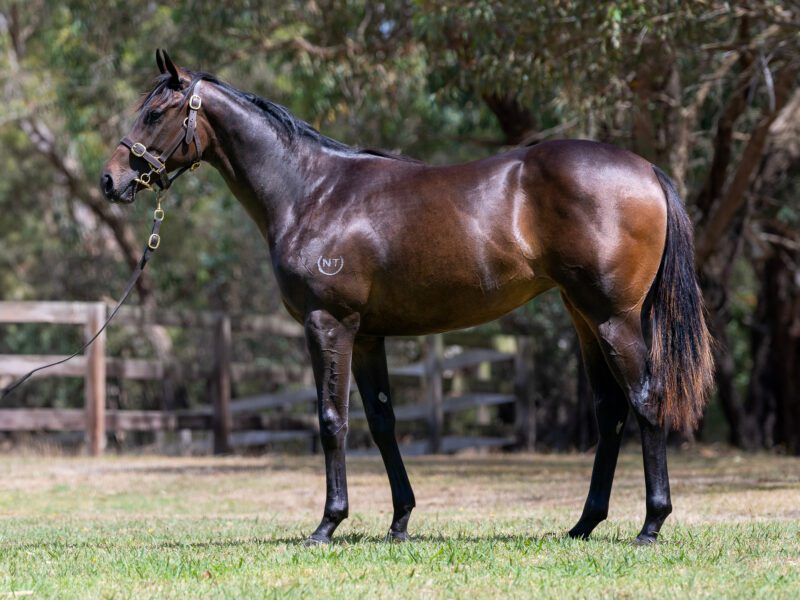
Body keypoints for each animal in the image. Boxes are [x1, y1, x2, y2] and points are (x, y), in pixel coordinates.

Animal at [98, 50, 712, 548]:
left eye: (156, 113)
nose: (110, 181)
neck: (312, 192)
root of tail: (646, 170)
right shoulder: (368, 335)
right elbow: (382, 421)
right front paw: (399, 521)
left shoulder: (329, 324)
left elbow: (332, 419)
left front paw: (328, 524)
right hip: (583, 316)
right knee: (610, 411)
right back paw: (584, 525)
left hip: (614, 319)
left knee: (646, 400)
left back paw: (651, 524)